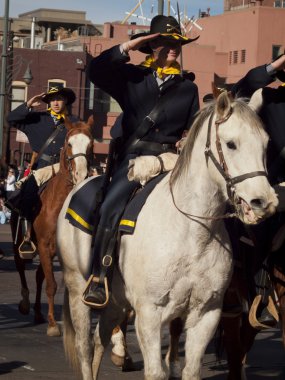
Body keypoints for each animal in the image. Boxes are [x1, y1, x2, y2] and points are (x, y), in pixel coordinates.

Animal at [10, 116, 93, 336]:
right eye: (69, 143)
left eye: (90, 144)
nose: (81, 174)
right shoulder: (45, 245)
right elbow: (52, 285)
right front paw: (54, 325)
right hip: (20, 242)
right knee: (21, 265)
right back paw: (25, 303)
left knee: (39, 276)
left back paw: (39, 313)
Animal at [56, 90, 276, 378]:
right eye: (231, 144)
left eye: (265, 145)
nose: (264, 202)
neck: (191, 232)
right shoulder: (149, 314)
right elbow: (155, 371)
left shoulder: (206, 314)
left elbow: (191, 370)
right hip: (77, 289)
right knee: (85, 347)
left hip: (116, 301)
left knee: (99, 339)